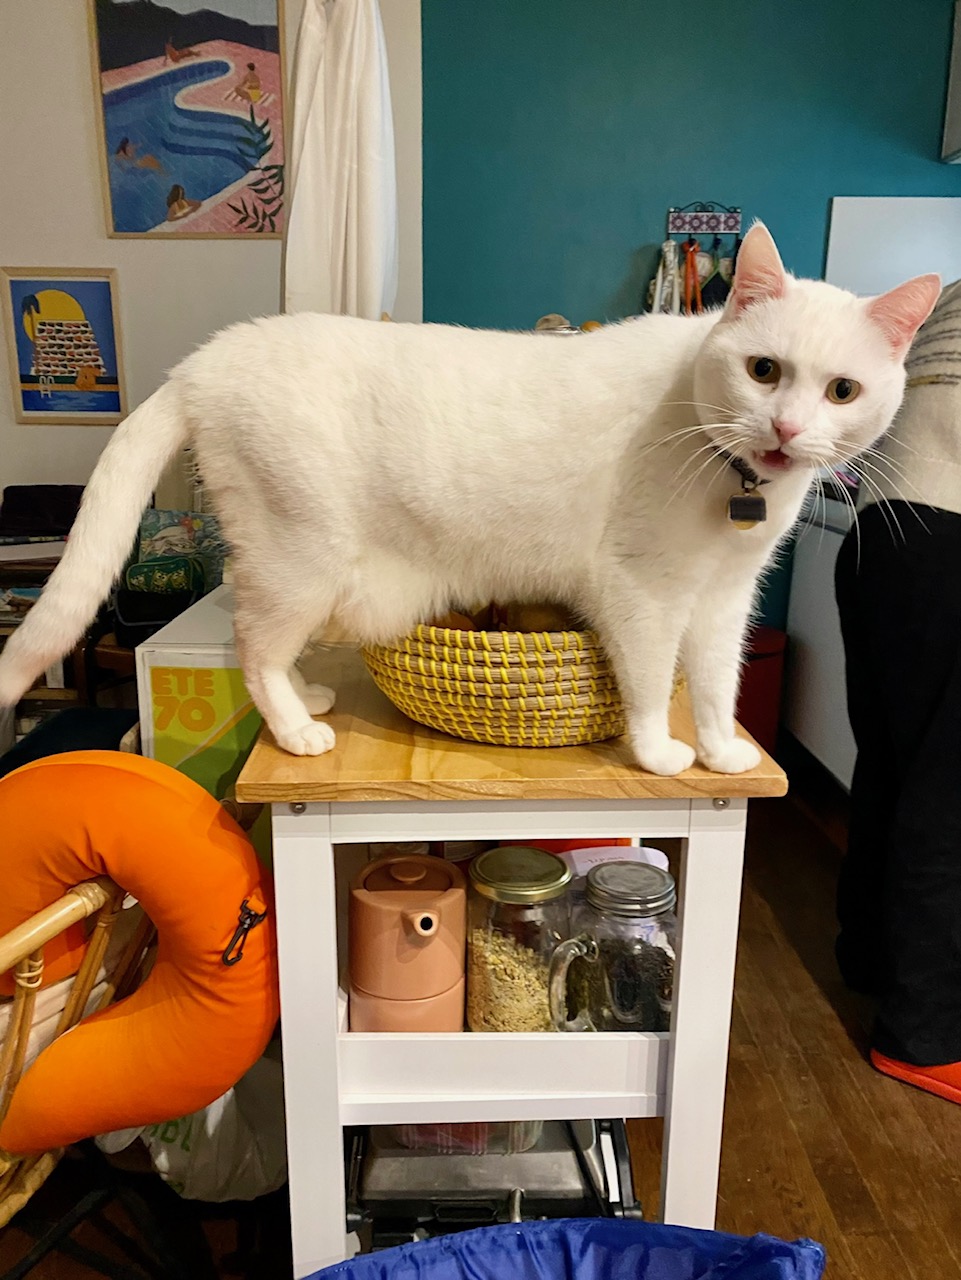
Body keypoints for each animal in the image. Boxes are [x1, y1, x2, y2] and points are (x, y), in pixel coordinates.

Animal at [0, 224, 939, 775]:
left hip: (286, 563)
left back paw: (304, 702)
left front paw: (717, 750)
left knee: (261, 638)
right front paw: (659, 752)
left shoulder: (724, 599)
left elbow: (714, 683)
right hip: (299, 555)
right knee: (252, 647)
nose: (785, 428)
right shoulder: (643, 592)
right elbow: (647, 682)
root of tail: (201, 361)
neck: (737, 482)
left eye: (843, 391)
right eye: (763, 370)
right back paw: (299, 730)